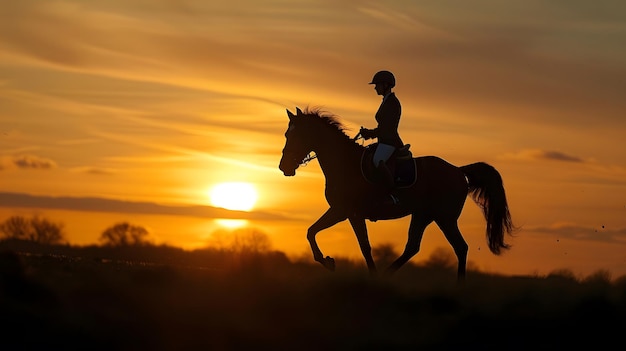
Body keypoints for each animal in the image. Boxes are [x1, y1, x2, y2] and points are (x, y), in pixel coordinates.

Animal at [278, 107, 512, 284]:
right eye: (287, 135)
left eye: (295, 135)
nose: (284, 167)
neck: (344, 163)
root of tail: (457, 170)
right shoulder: (347, 213)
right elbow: (323, 235)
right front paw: (334, 263)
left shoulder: (344, 211)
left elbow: (345, 241)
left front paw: (329, 262)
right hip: (423, 215)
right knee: (413, 247)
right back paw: (387, 274)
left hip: (445, 217)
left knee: (460, 247)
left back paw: (458, 286)